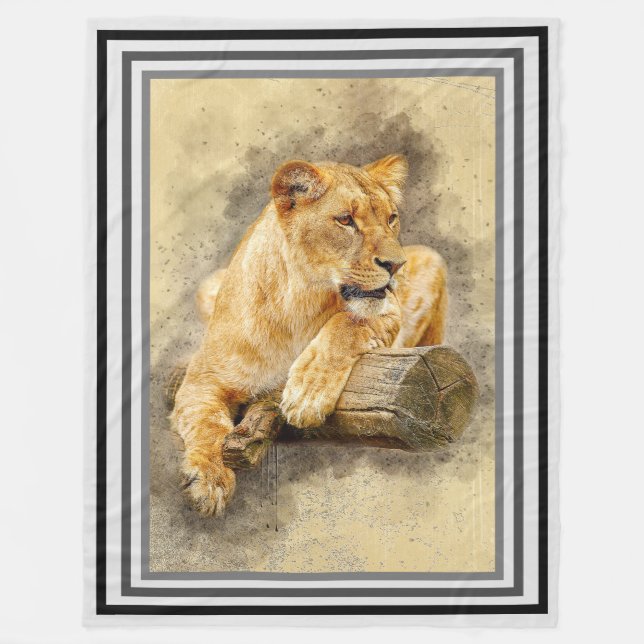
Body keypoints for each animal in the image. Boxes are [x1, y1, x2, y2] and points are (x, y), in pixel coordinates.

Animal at [172, 154, 447, 516]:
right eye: (345, 220)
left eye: (391, 218)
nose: (396, 265)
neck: (298, 304)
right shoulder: (202, 380)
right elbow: (206, 424)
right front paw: (209, 480)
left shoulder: (388, 311)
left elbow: (348, 323)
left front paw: (307, 394)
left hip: (432, 259)